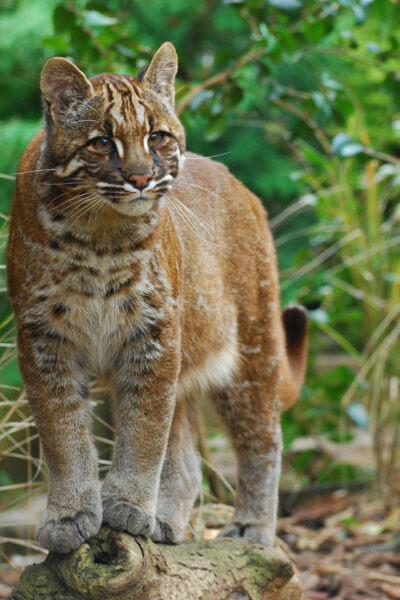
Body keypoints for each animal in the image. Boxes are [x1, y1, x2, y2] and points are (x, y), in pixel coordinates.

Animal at [7, 42, 310, 556]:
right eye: (102, 142)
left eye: (158, 137)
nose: (142, 179)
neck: (98, 235)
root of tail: (240, 185)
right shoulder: (44, 340)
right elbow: (63, 434)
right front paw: (70, 515)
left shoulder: (154, 335)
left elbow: (145, 432)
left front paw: (127, 506)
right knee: (188, 461)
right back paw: (166, 521)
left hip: (253, 352)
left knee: (264, 439)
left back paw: (252, 530)